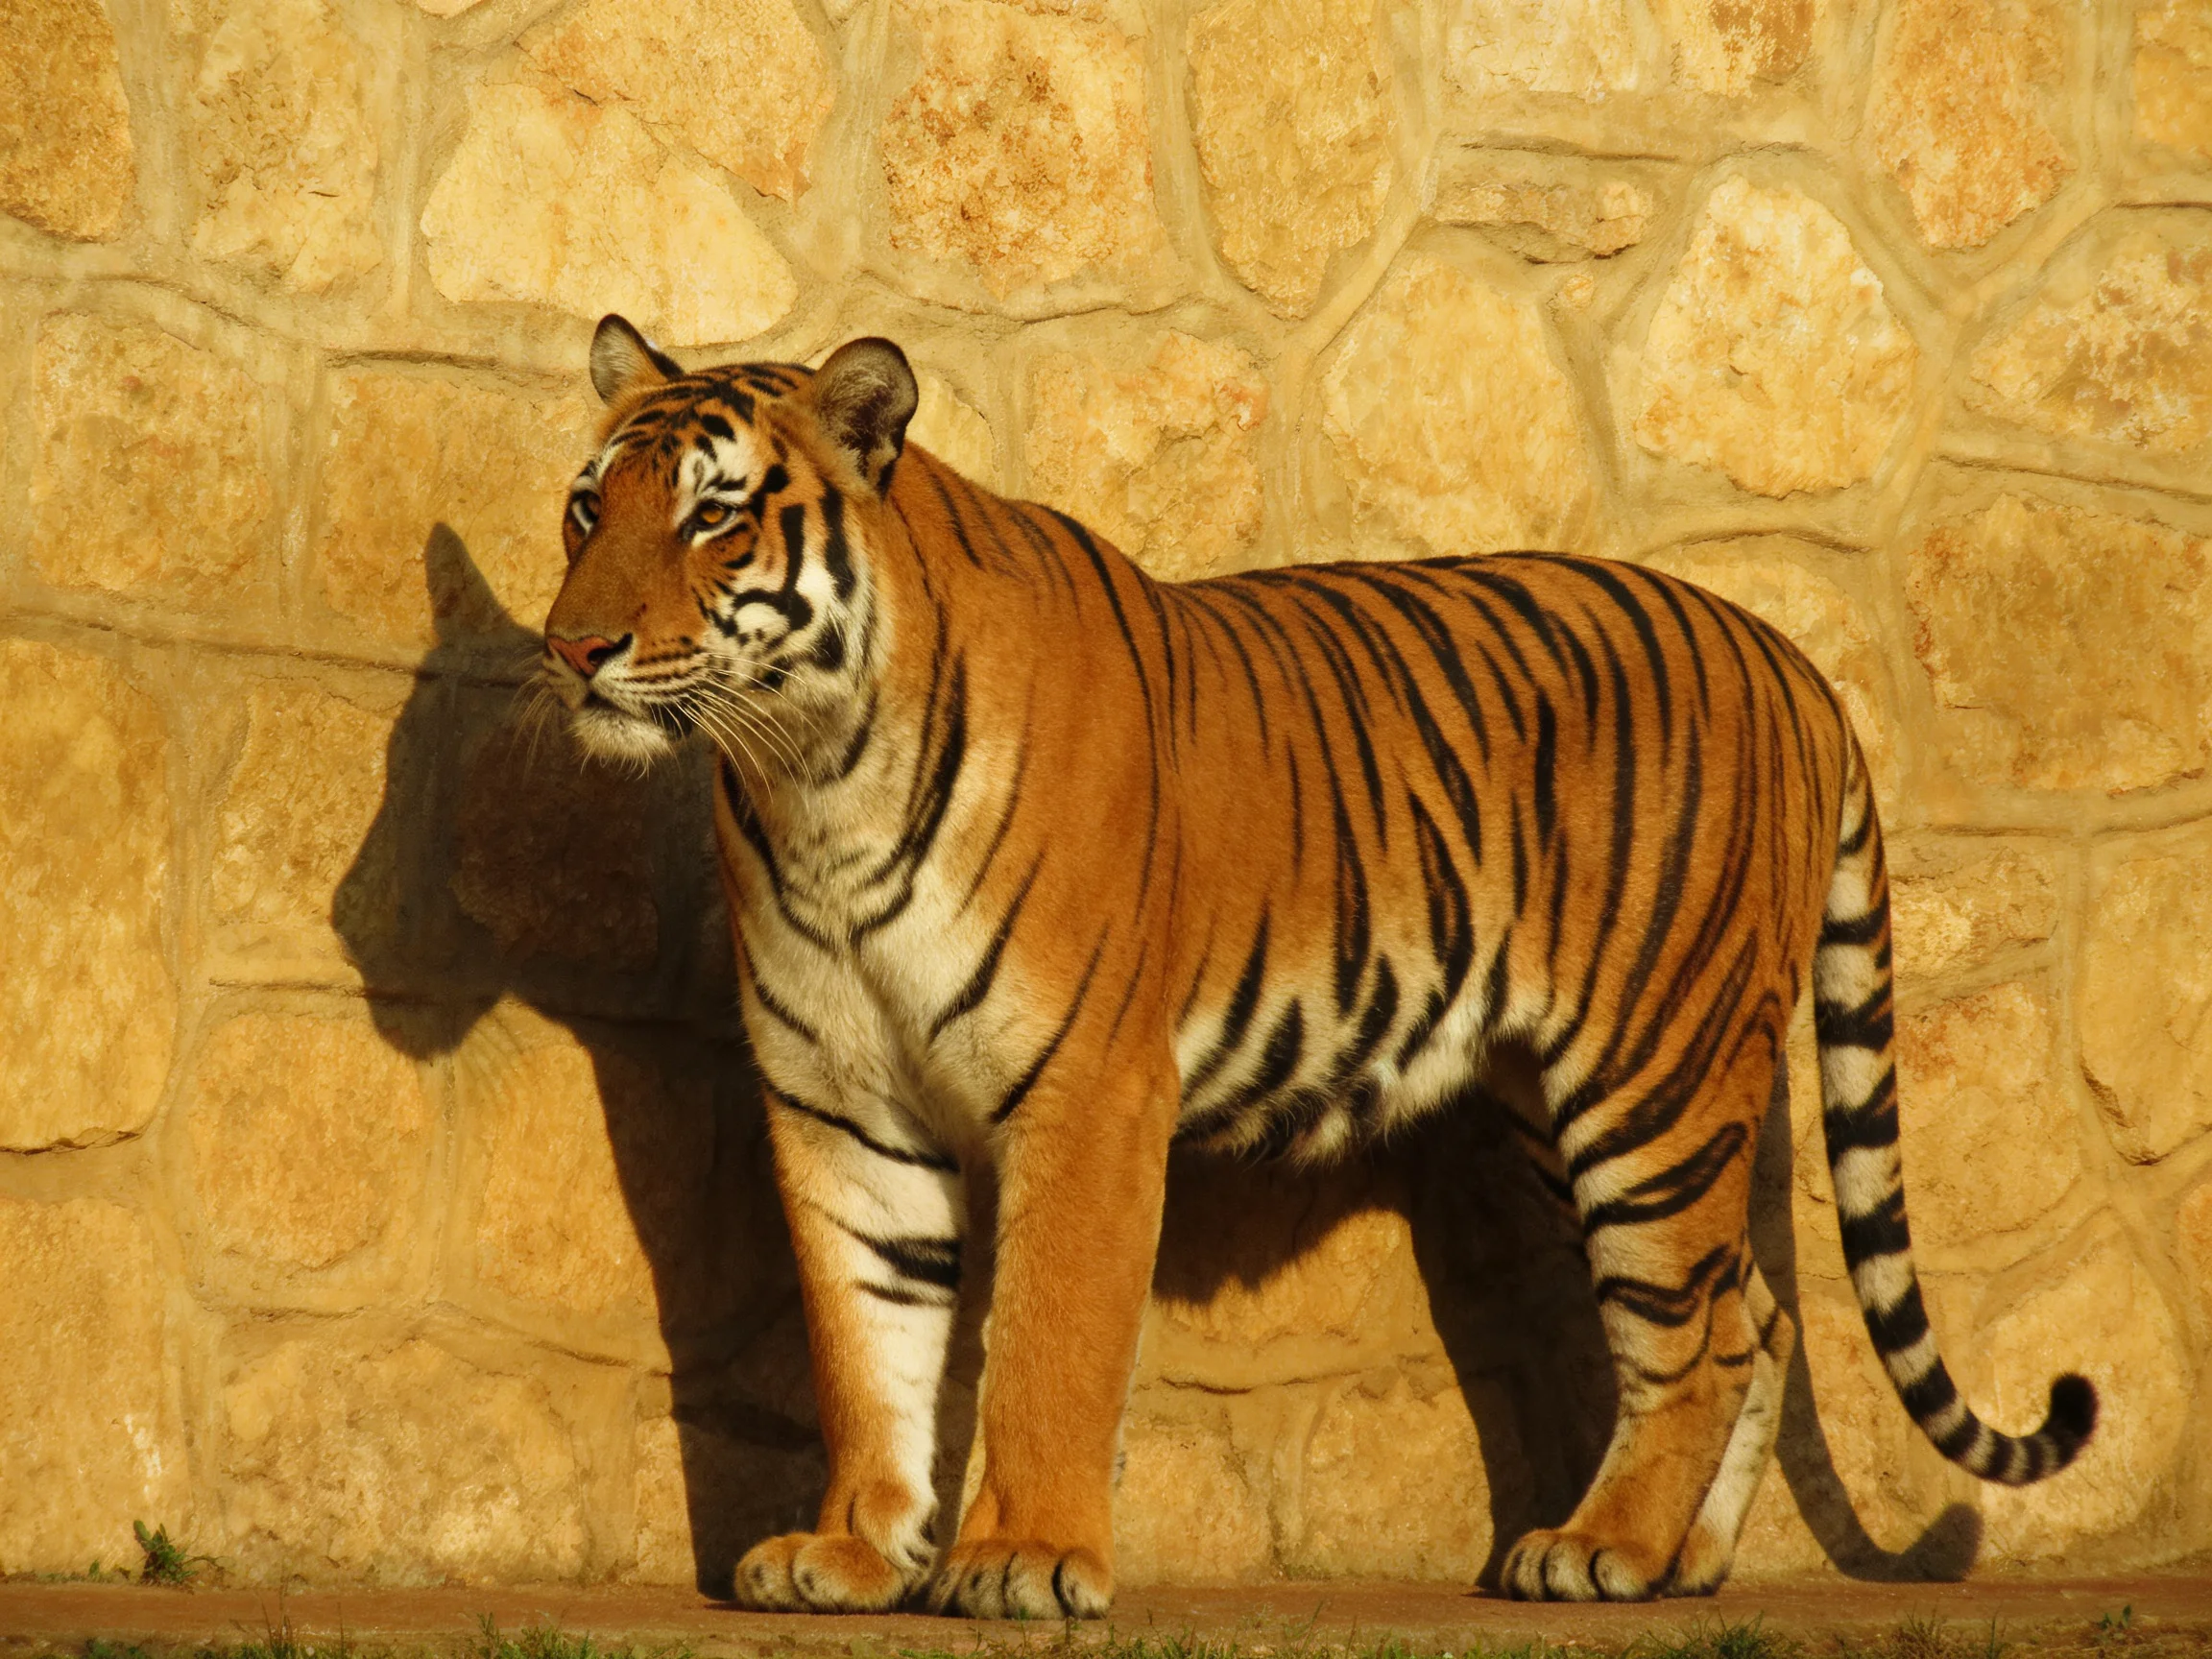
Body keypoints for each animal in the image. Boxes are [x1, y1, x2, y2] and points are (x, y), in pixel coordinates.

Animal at [538, 313, 2097, 1614]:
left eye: (714, 517)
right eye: (587, 507)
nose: (571, 648)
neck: (815, 775)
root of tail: (1789, 657)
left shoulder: (1089, 1094)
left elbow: (1047, 1344)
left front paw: (1025, 1560)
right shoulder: (841, 1108)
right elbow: (870, 1343)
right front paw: (856, 1550)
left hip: (1653, 1075)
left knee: (1699, 1332)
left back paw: (1601, 1549)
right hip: (1553, 1092)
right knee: (1756, 1312)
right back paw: (1684, 1563)